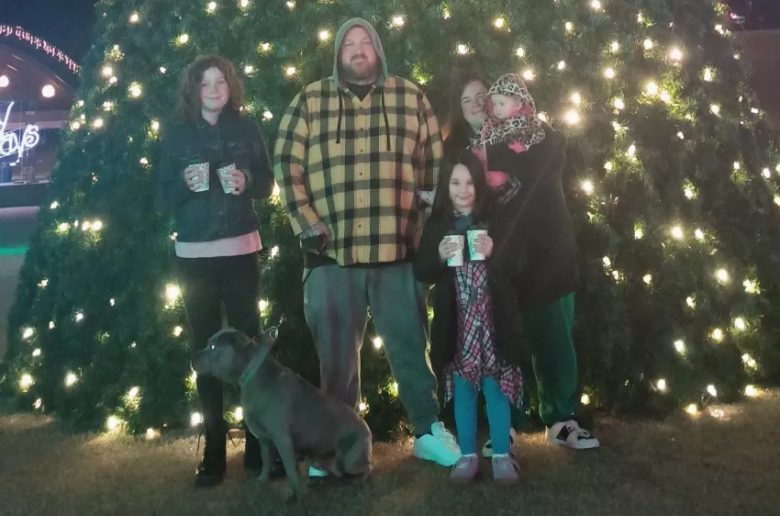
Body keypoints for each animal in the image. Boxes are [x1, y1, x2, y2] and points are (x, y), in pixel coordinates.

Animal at [193, 327, 372, 500]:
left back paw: (351, 482)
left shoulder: (282, 439)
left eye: (213, 347)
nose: (192, 358)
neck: (251, 373)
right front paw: (262, 481)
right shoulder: (264, 439)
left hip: (351, 457)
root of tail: (368, 430)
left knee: (364, 469)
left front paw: (296, 496)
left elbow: (290, 469)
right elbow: (266, 461)